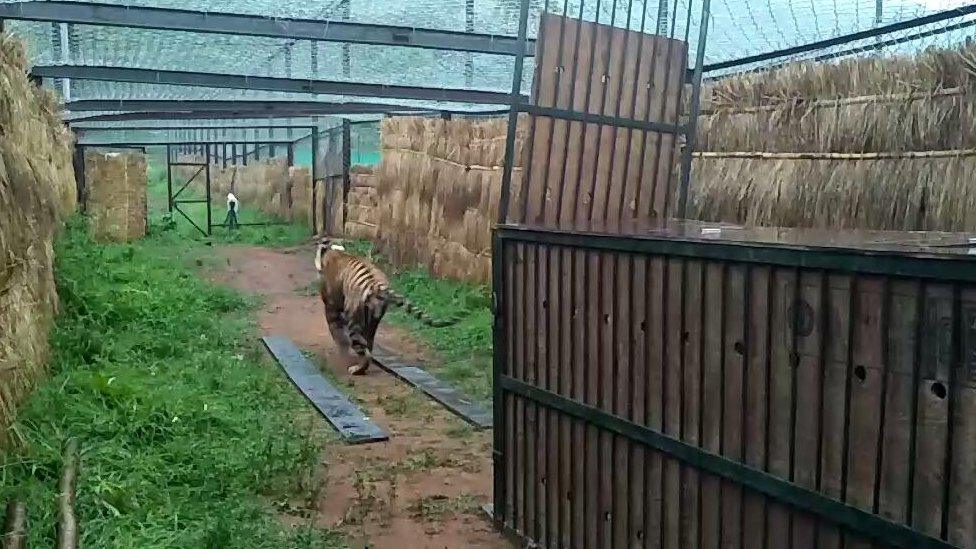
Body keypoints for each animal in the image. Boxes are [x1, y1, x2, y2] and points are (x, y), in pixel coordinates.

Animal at [316, 235, 462, 372]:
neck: (334, 251)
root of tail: (377, 286)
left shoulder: (331, 307)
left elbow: (337, 334)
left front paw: (342, 353)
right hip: (373, 321)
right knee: (369, 346)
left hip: (354, 320)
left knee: (364, 351)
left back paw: (356, 369)